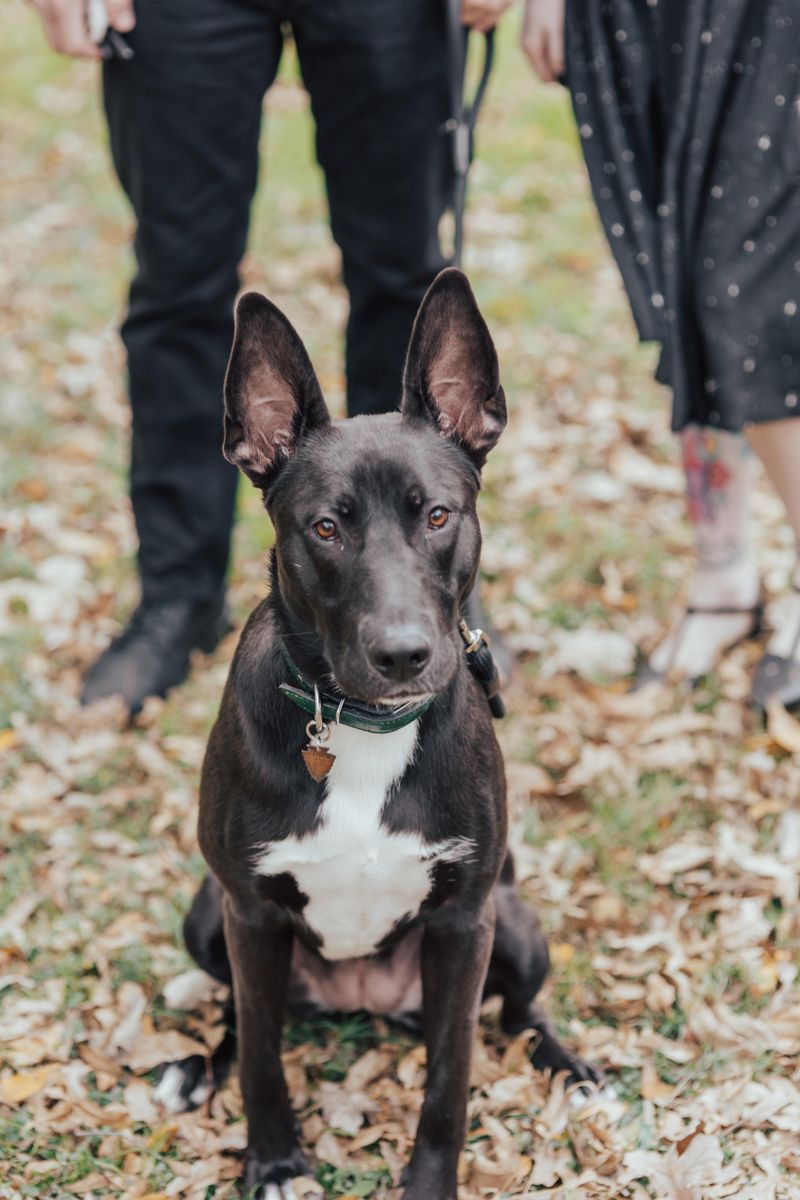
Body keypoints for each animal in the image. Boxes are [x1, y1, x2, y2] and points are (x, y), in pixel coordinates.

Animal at [154, 272, 594, 1200]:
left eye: (438, 515)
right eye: (326, 527)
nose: (403, 654)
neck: (358, 725)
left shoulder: (464, 923)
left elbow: (450, 1076)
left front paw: (428, 1182)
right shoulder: (250, 914)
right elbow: (263, 1060)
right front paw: (274, 1161)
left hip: (515, 921)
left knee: (518, 1009)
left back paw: (567, 1063)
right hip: (208, 915)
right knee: (242, 1020)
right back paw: (195, 1068)